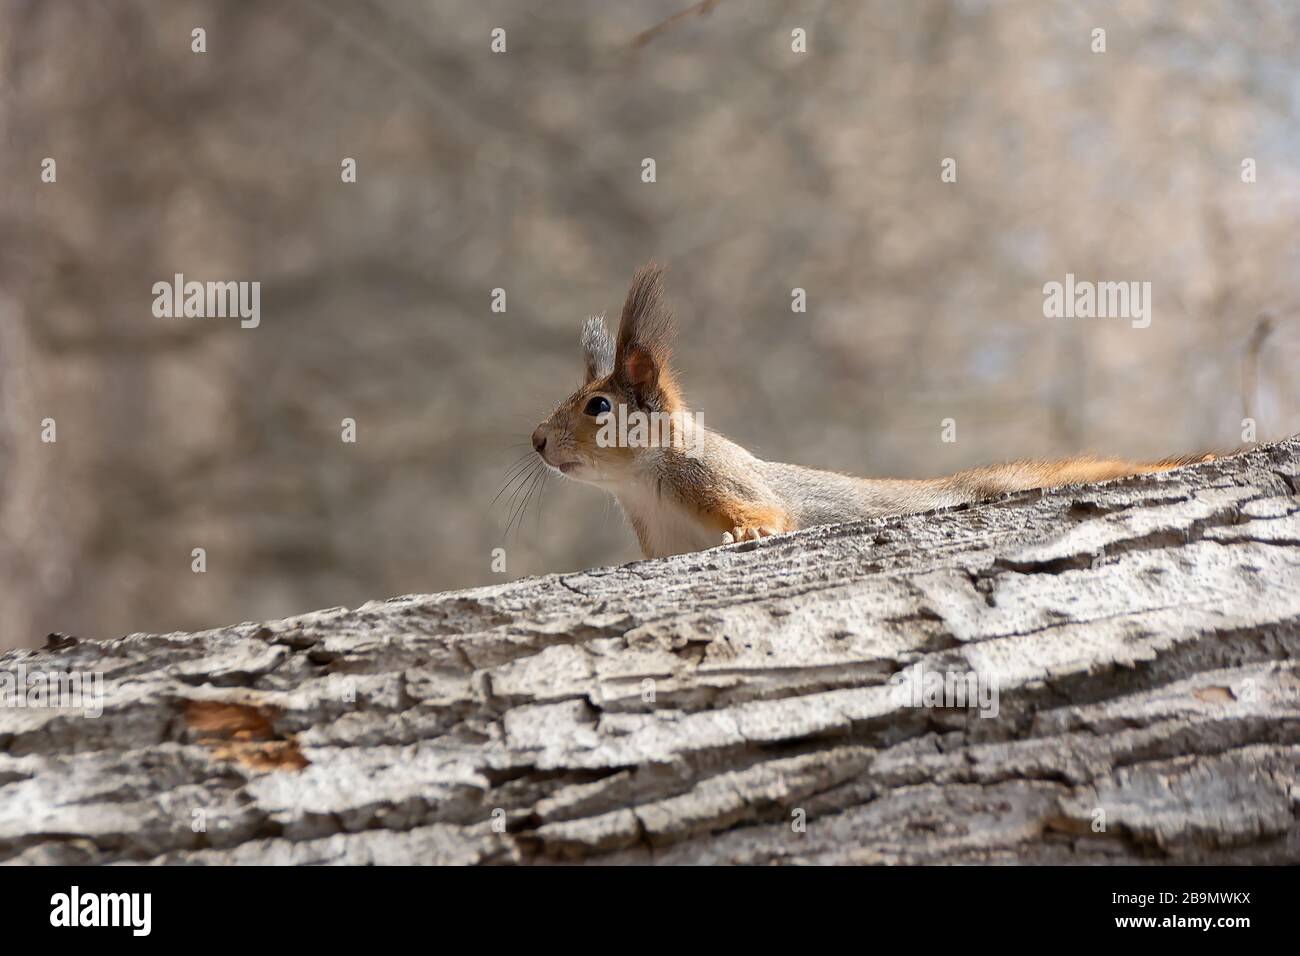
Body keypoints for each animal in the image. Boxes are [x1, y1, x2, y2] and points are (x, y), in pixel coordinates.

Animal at [530, 264, 1216, 561]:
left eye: (598, 406)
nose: (535, 439)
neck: (641, 485)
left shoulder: (715, 480)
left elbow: (768, 515)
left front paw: (749, 533)